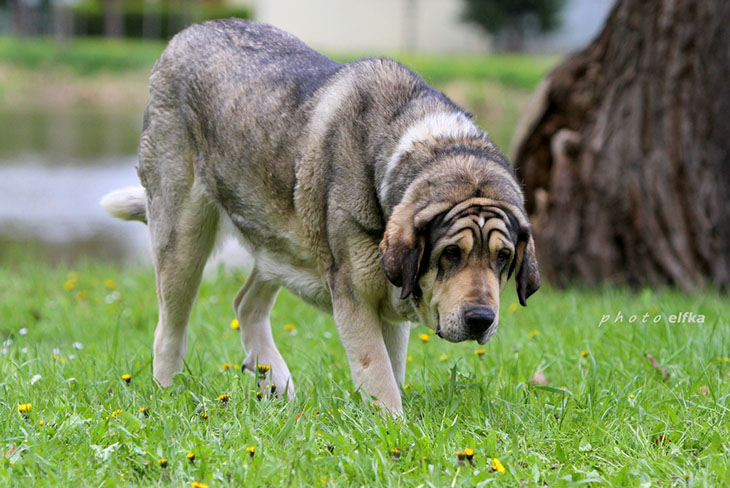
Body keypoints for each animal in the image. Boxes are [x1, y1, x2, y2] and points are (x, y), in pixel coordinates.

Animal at [99, 20, 536, 416]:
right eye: (450, 254)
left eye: (502, 257)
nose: (481, 319)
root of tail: (184, 35)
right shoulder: (355, 294)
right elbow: (378, 372)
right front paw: (394, 427)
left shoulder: (390, 301)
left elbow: (393, 368)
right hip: (183, 238)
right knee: (170, 329)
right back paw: (166, 394)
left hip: (278, 241)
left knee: (246, 303)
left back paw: (277, 384)